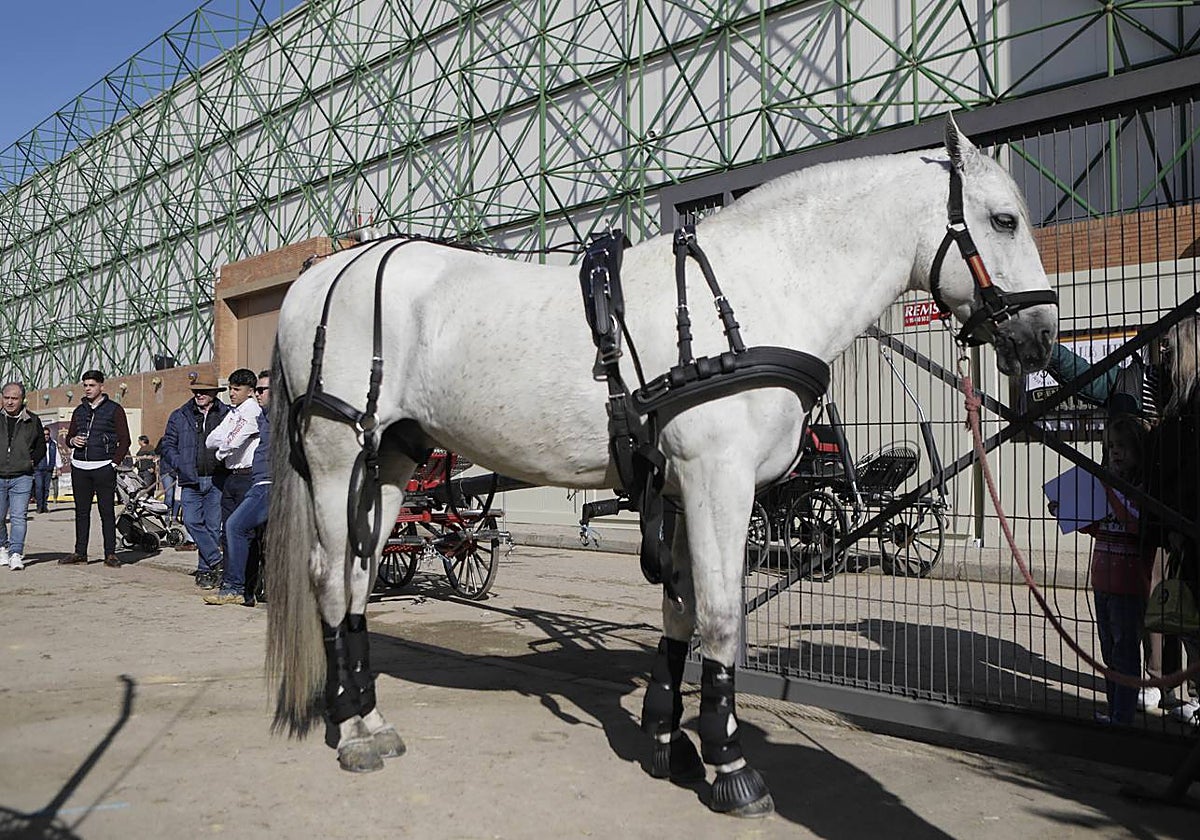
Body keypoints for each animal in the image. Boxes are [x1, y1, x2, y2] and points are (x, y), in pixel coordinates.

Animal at [264, 116, 1057, 817]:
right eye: (1004, 220)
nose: (1042, 337)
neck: (754, 290)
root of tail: (318, 277)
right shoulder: (718, 478)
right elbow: (720, 614)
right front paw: (729, 764)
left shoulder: (677, 486)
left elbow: (679, 610)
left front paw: (667, 740)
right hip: (338, 457)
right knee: (331, 577)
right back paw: (352, 731)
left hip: (392, 459)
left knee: (361, 576)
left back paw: (370, 718)